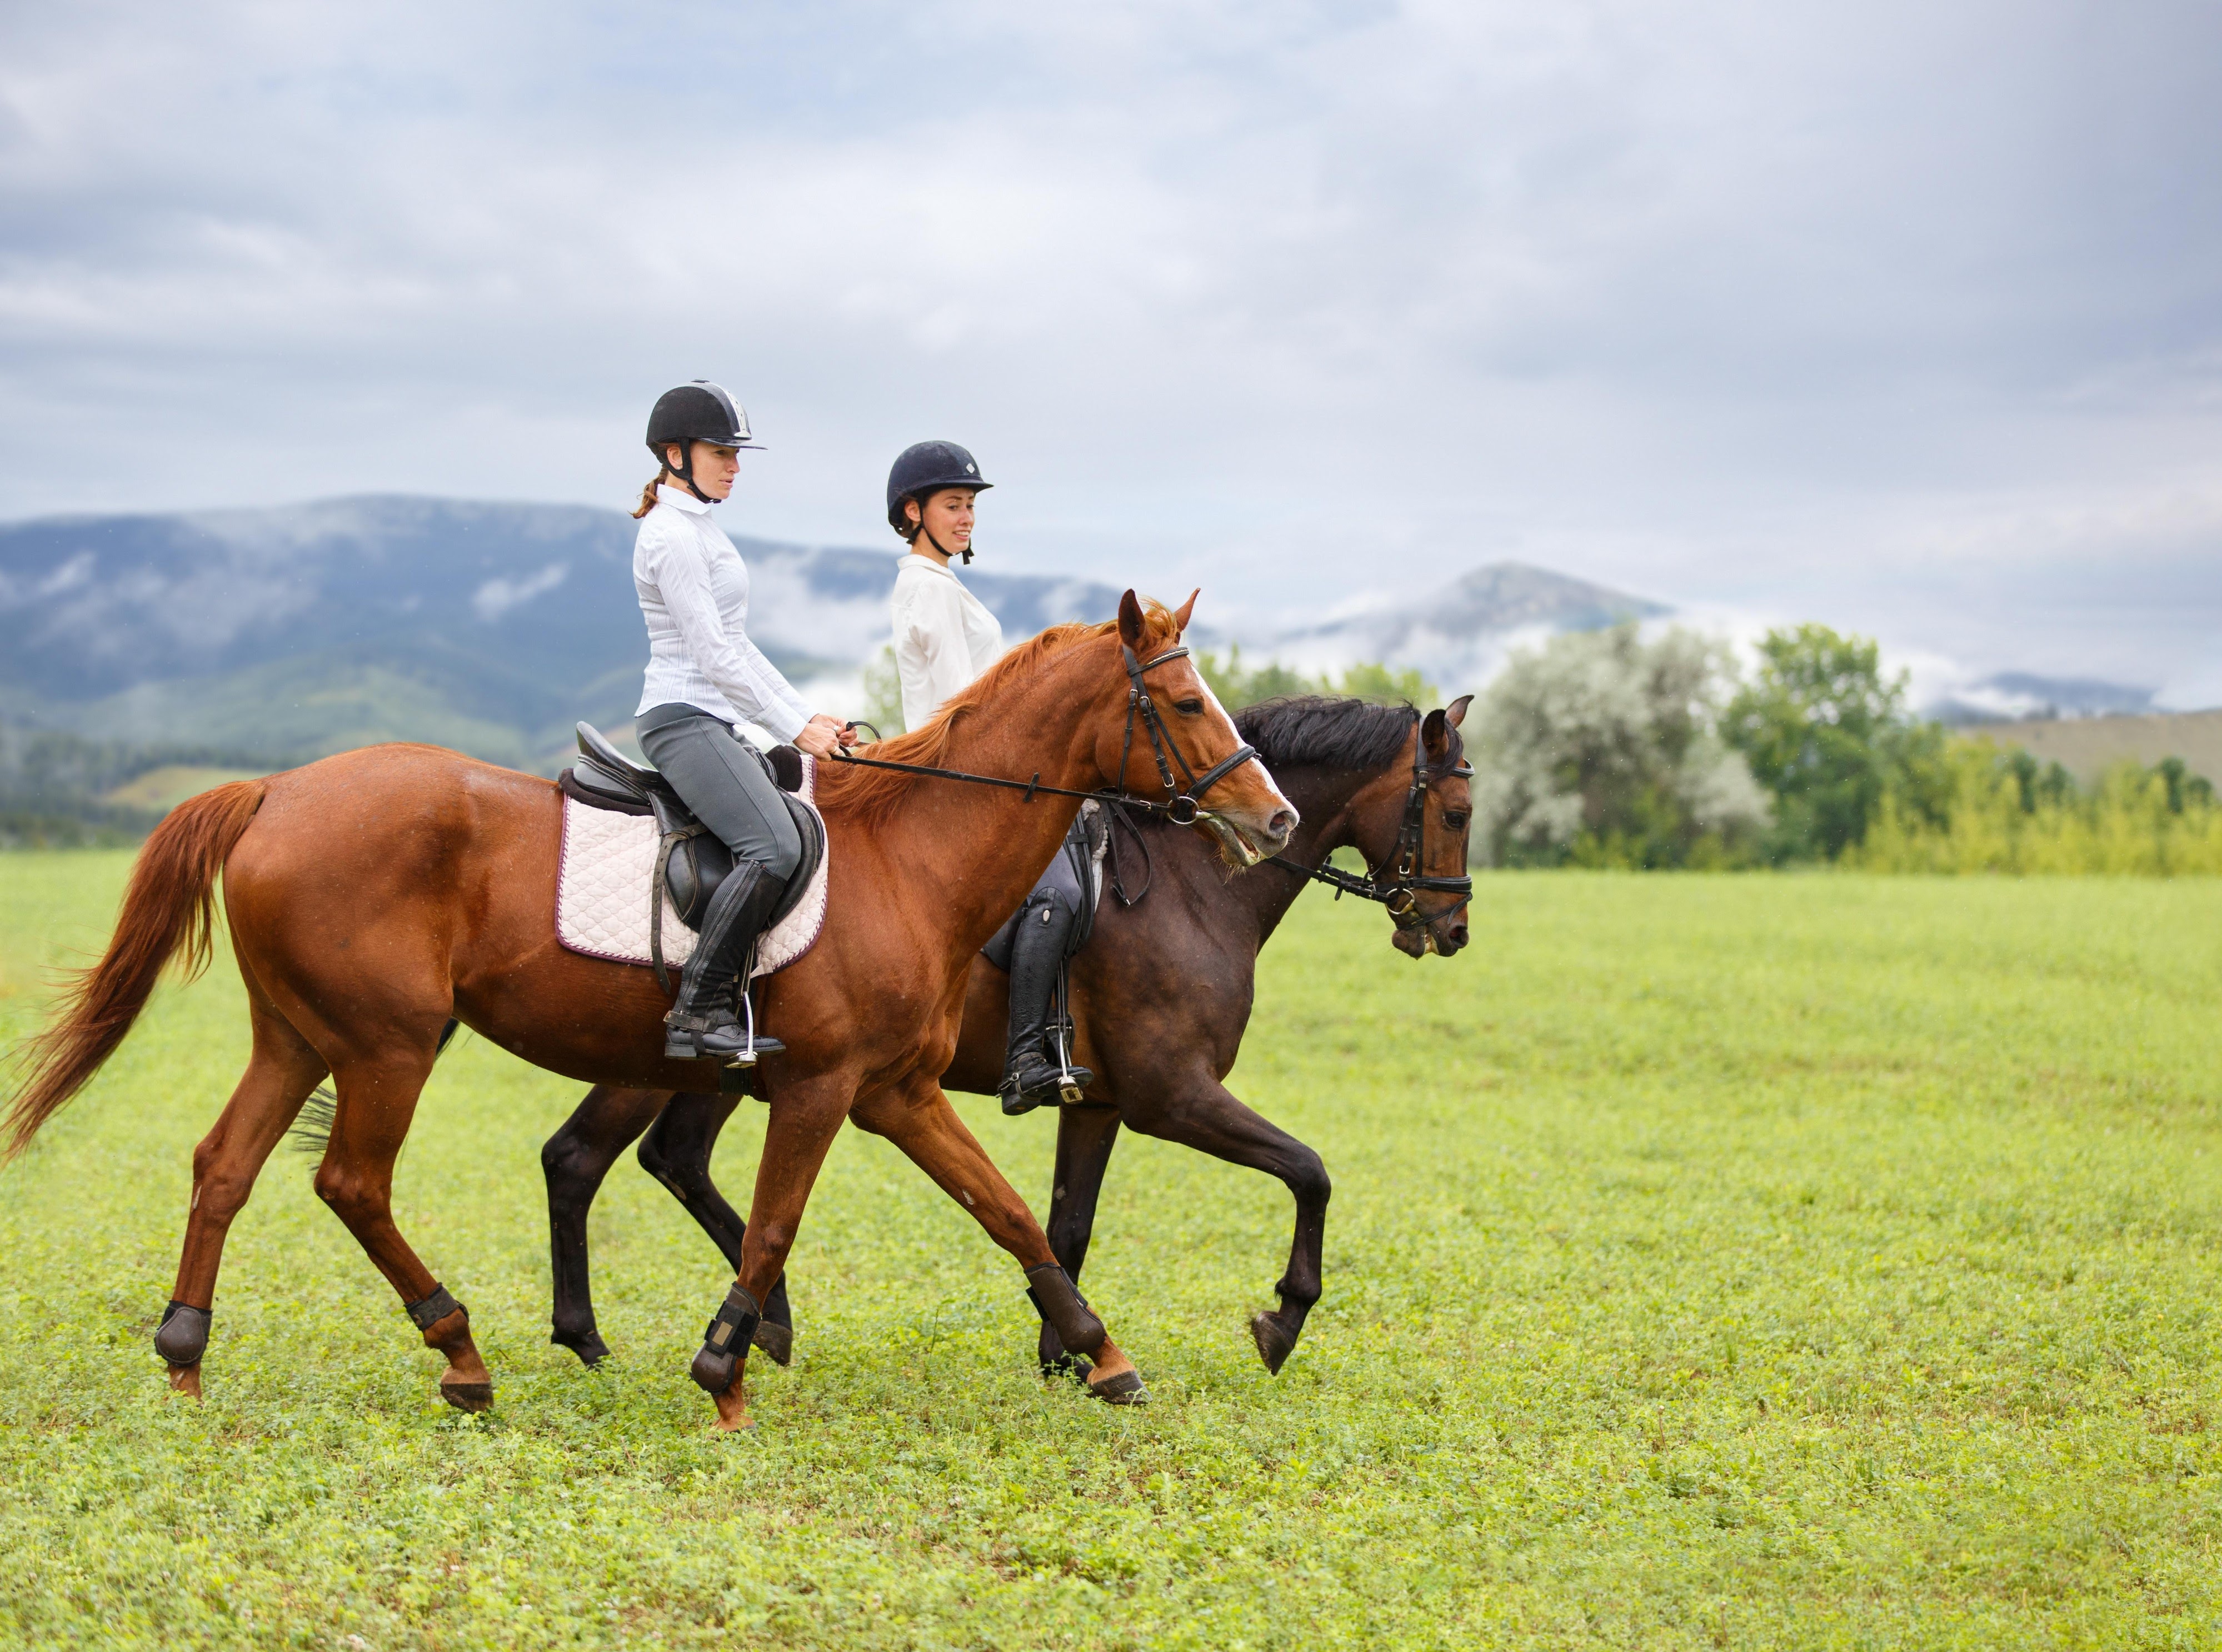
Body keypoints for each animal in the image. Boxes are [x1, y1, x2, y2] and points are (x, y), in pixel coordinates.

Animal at [2, 592, 1296, 1429]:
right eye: (1185, 700)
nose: (1274, 818)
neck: (910, 856)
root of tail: (274, 789)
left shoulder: (897, 1090)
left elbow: (1011, 1212)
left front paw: (1103, 1355)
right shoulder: (823, 1088)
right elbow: (775, 1225)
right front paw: (725, 1364)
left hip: (299, 1035)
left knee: (225, 1165)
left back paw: (186, 1353)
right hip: (386, 1043)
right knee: (353, 1181)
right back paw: (460, 1350)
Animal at [537, 692, 1473, 1379]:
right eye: (1459, 812)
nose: (1452, 926)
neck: (1191, 886)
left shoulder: (1095, 1104)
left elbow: (1065, 1225)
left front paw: (1065, 1351)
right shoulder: (1171, 1096)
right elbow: (1308, 1171)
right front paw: (1281, 1318)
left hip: (729, 1069)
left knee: (655, 1158)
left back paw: (725, 1325)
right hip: (672, 1057)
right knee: (589, 1157)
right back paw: (626, 1332)